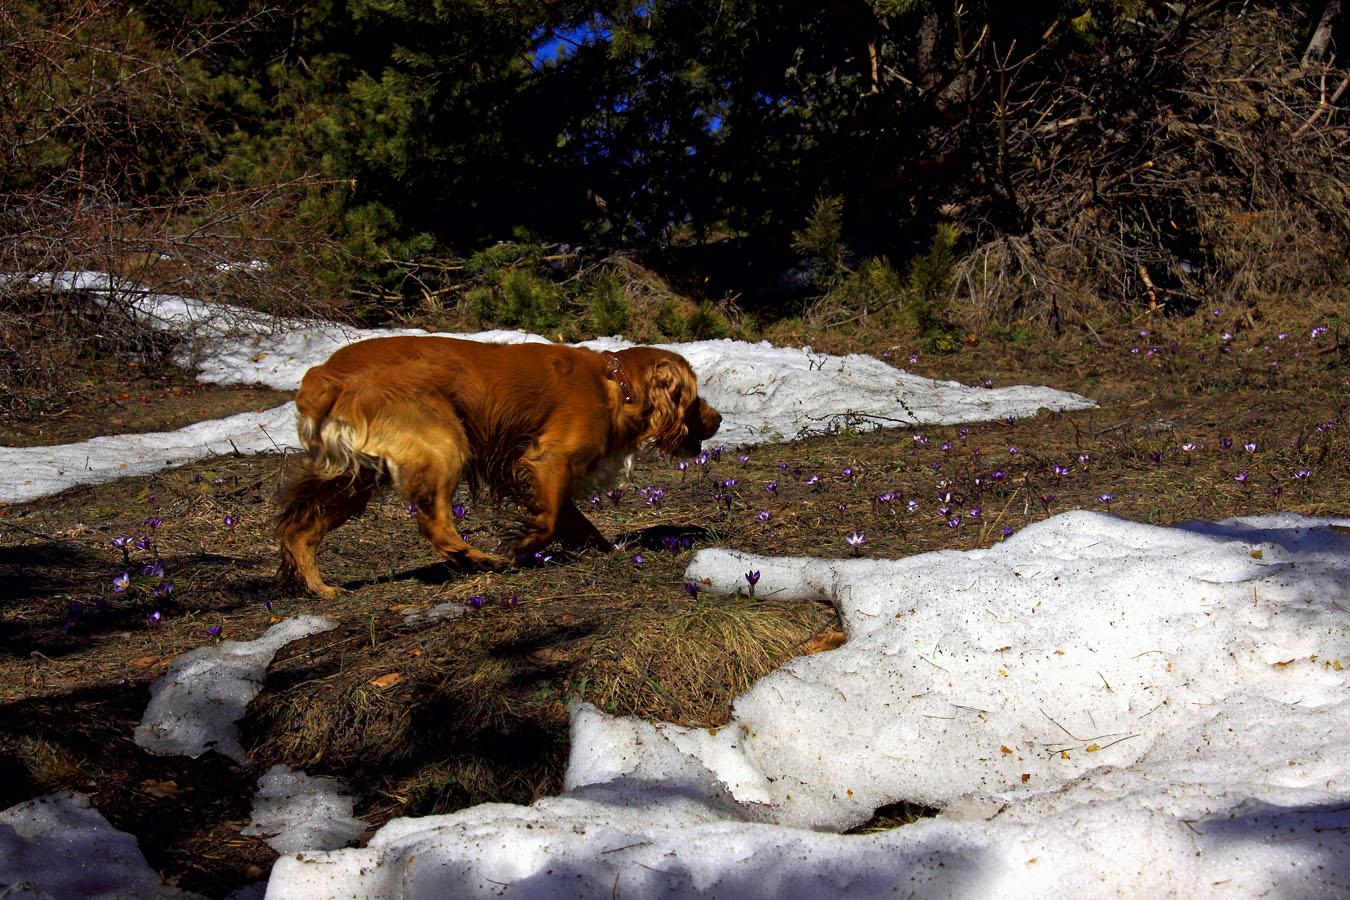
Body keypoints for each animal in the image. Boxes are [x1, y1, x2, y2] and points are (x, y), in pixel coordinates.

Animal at [272, 335, 718, 599]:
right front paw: (520, 545)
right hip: (445, 443)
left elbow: (575, 521)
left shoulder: (545, 473)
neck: (617, 386)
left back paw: (319, 587)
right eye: (695, 398)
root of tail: (324, 374)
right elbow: (550, 520)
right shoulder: (548, 458)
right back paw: (479, 560)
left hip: (352, 478)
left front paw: (606, 549)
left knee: (298, 530)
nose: (718, 419)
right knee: (435, 525)